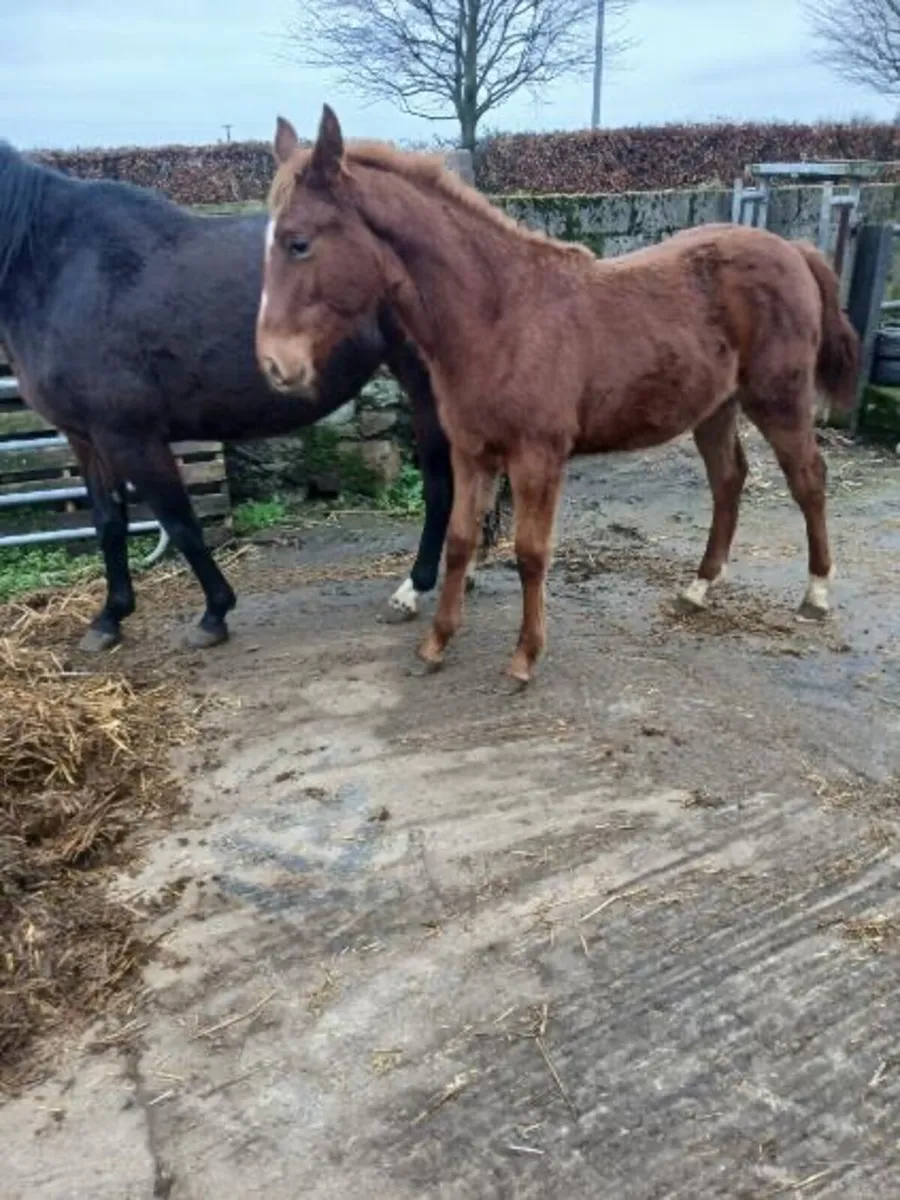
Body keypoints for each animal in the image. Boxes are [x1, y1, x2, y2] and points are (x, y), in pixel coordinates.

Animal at [0, 140, 490, 651]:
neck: (60, 267)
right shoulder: (86, 437)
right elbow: (108, 523)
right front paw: (109, 618)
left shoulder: (131, 437)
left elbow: (181, 523)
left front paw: (214, 613)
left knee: (442, 485)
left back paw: (412, 589)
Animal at [256, 106, 860, 685]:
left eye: (298, 242)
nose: (273, 364)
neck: (498, 314)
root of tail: (794, 248)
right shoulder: (472, 452)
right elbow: (459, 541)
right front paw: (436, 643)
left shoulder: (536, 457)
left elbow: (530, 553)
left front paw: (524, 657)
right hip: (715, 406)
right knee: (729, 479)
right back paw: (699, 587)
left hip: (778, 398)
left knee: (809, 478)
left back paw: (816, 593)